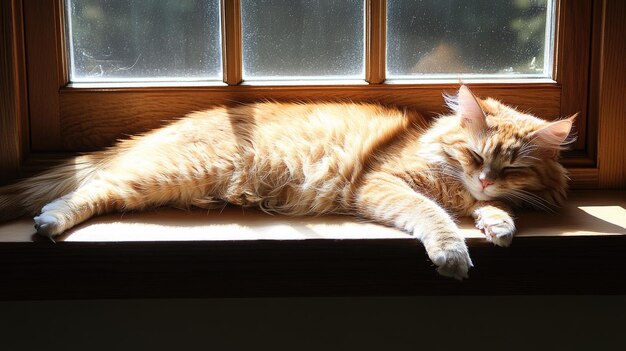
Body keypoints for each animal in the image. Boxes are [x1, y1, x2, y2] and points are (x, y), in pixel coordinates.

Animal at [0, 86, 572, 280]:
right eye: (475, 155)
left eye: (511, 168)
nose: (484, 179)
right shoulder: (381, 183)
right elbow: (433, 215)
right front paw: (453, 251)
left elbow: (484, 210)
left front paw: (498, 221)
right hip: (169, 171)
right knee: (89, 189)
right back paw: (51, 220)